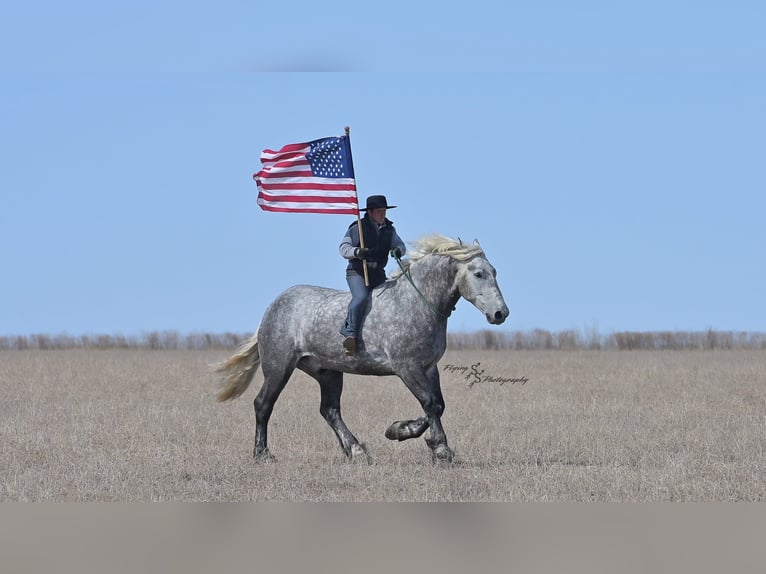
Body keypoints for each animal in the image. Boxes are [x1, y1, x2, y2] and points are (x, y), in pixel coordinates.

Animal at [215, 233, 509, 463]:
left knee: (329, 410)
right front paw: (438, 448)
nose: (500, 313)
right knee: (263, 404)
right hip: (279, 367)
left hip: (328, 372)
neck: (414, 303)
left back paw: (356, 450)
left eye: (495, 271)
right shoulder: (407, 367)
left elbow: (438, 405)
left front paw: (400, 431)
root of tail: (273, 308)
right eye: (479, 273)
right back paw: (262, 454)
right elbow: (430, 403)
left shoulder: (428, 367)